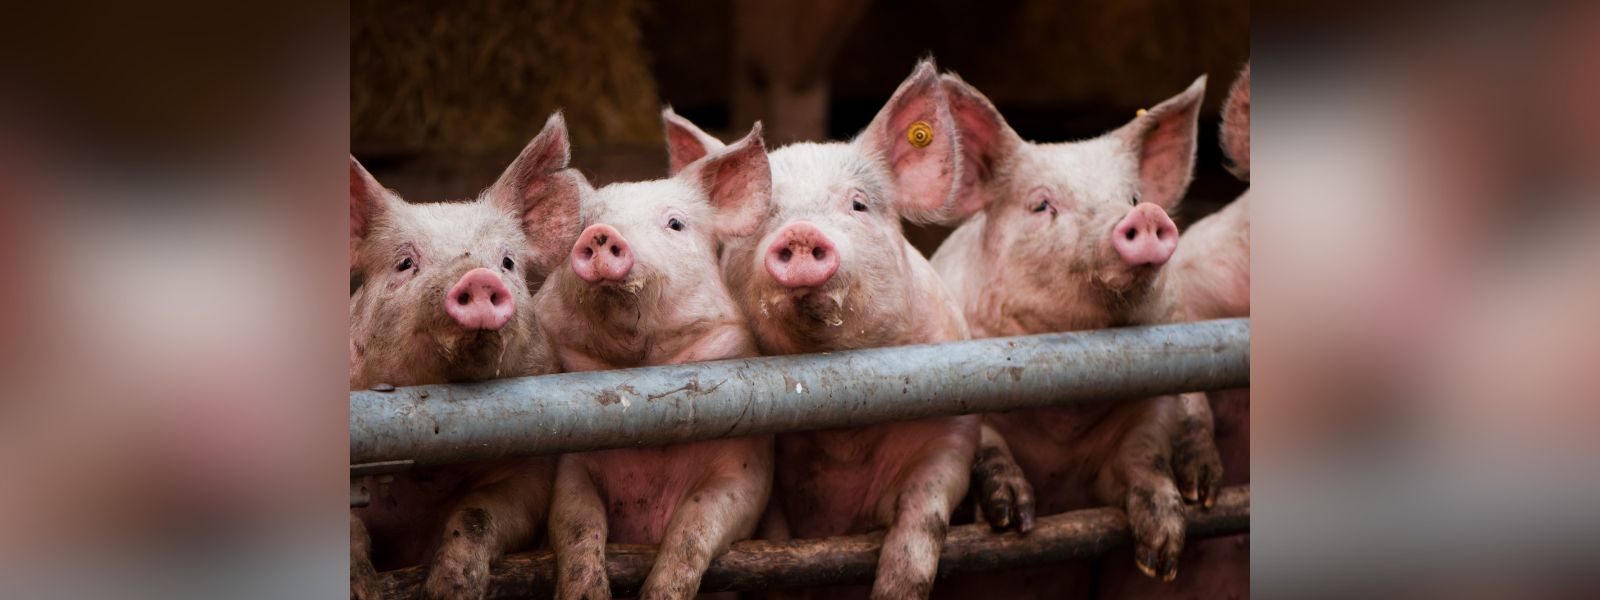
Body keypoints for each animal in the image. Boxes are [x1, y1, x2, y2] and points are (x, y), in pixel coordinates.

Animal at [349, 114, 581, 600]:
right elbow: (351, 530)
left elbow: (479, 513)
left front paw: (450, 588)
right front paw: (365, 590)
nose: (476, 276)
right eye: (404, 264)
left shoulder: (531, 468)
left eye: (507, 262)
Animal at [534, 125, 774, 599]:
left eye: (675, 223)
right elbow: (577, 523)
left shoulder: (745, 468)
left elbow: (693, 529)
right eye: (585, 225)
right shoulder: (570, 462)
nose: (601, 233)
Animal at [663, 59, 979, 599]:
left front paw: (895, 587)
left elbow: (924, 513)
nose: (800, 232)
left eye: (858, 204)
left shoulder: (952, 429)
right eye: (764, 215)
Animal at [923, 72, 1224, 595]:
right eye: (1042, 204)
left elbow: (1145, 458)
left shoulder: (1152, 404)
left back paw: (1204, 490)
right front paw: (1013, 519)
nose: (1145, 215)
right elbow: (986, 443)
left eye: (1131, 197)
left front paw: (1161, 558)